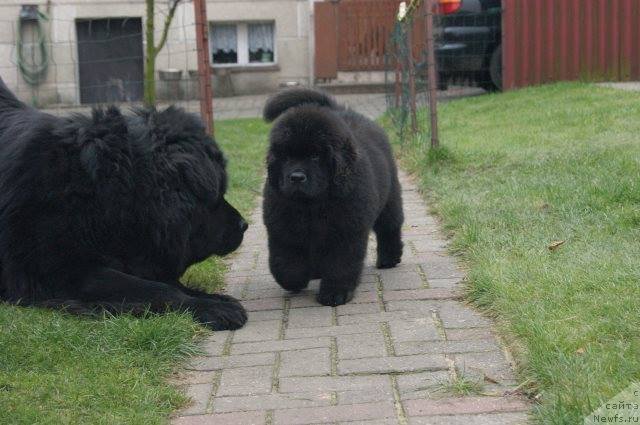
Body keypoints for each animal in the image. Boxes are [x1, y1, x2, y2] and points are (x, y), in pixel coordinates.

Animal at [0, 79, 248, 332]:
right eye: (217, 195)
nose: (244, 225)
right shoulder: (62, 271)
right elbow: (158, 289)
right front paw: (213, 308)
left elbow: (169, 283)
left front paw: (212, 297)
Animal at [262, 88, 402, 304]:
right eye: (286, 156)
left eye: (315, 156)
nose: (296, 177)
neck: (312, 206)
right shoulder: (283, 227)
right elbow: (285, 263)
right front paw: (296, 280)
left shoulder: (346, 231)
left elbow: (340, 264)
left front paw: (335, 294)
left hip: (389, 198)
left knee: (389, 227)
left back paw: (389, 259)